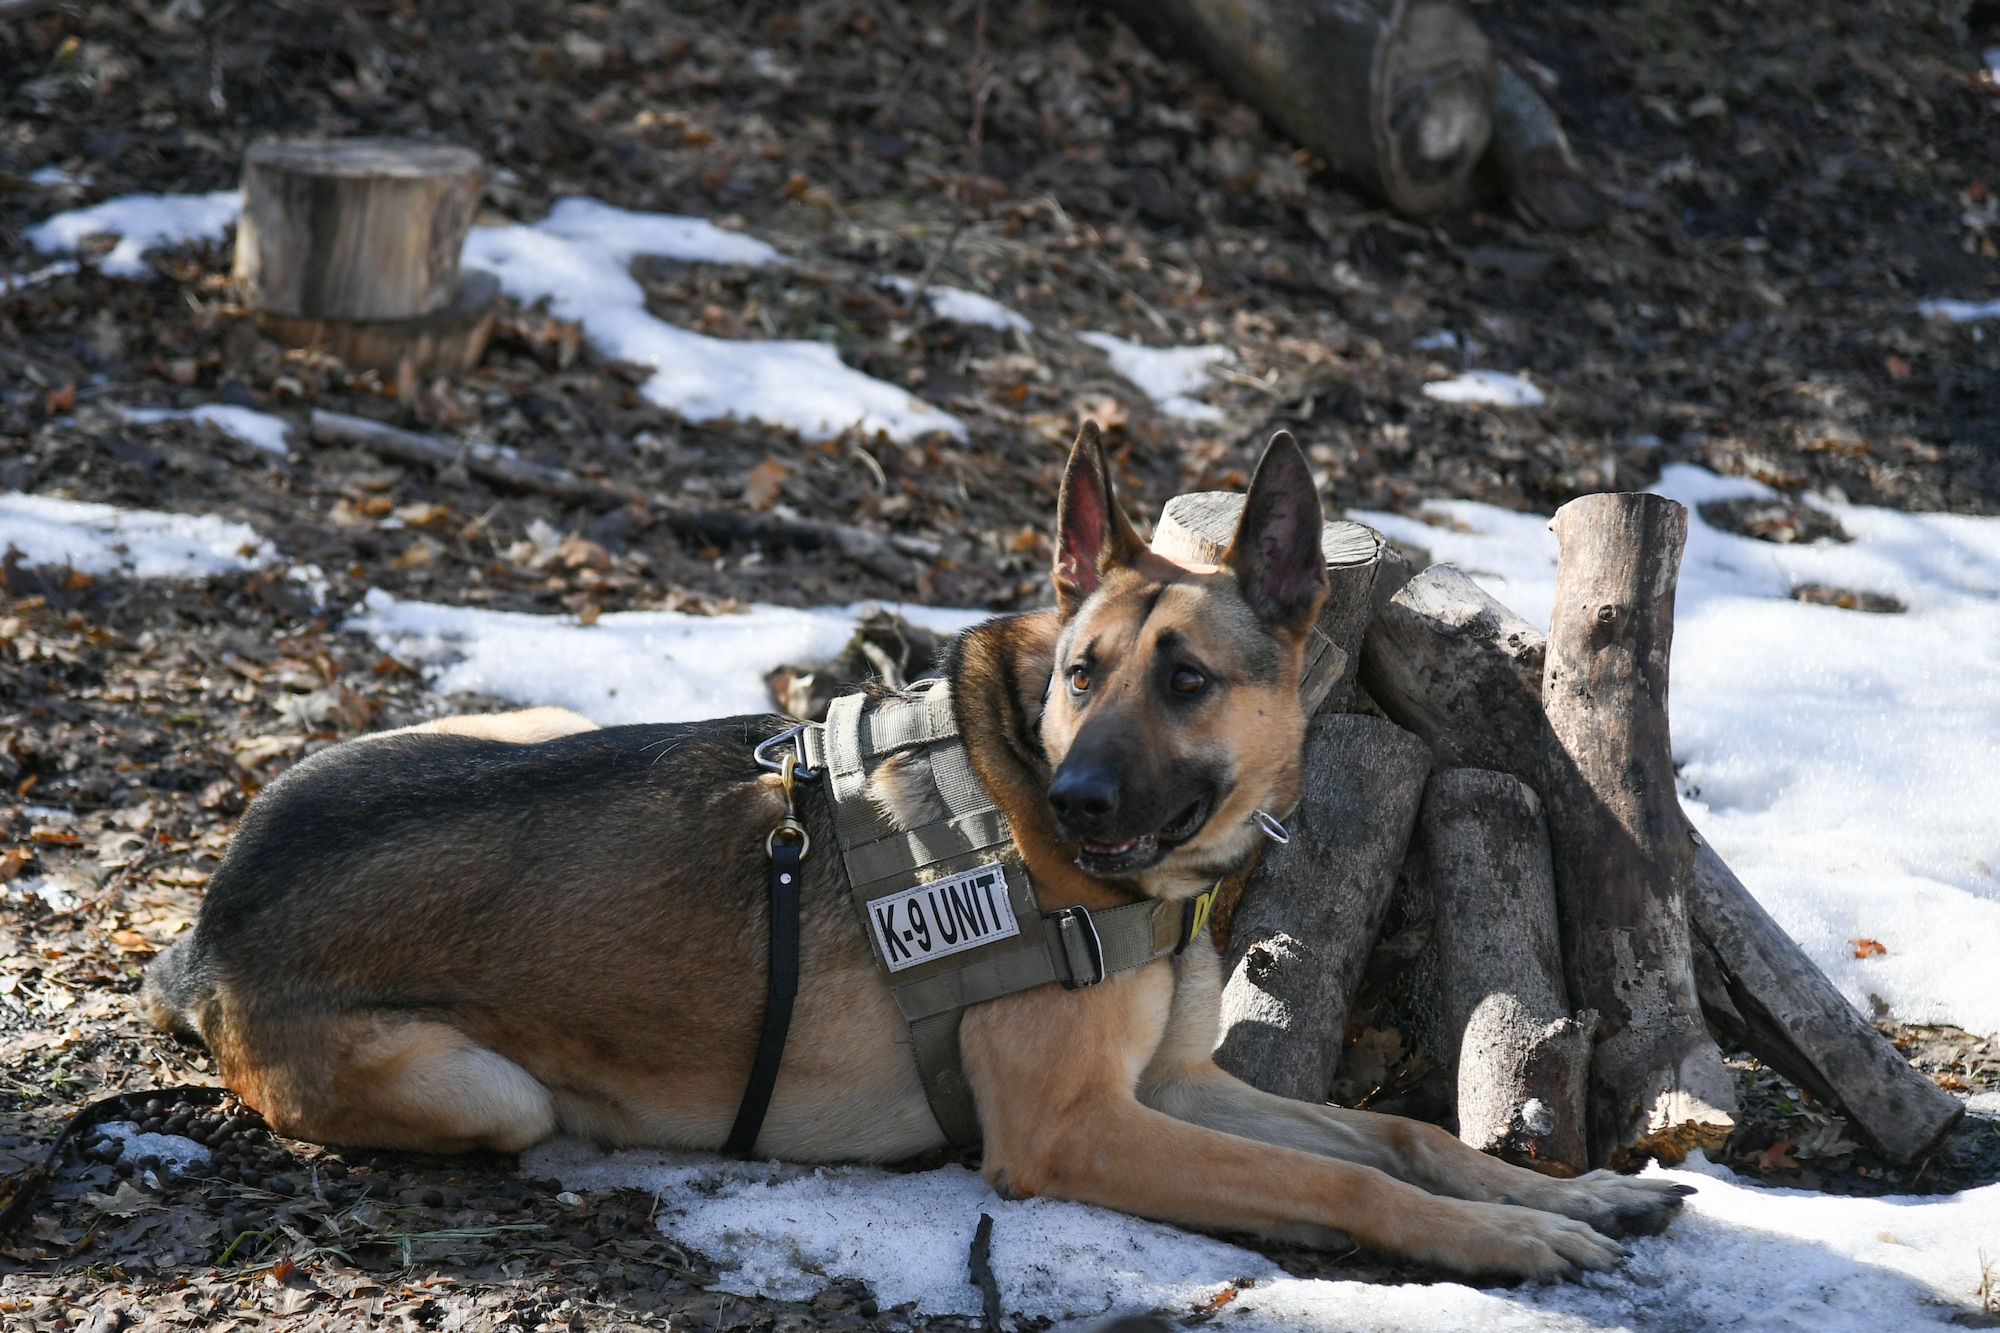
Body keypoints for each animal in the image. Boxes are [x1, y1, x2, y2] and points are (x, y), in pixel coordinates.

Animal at [148, 428, 1688, 1280]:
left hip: (538, 722)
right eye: (1081, 673)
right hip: (488, 1088)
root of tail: (212, 921)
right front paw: (1505, 1244)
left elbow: (1397, 1134)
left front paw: (1572, 1191)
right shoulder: (1077, 1131)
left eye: (1186, 680)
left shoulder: (1174, 1086)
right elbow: (1343, 1179)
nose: (1073, 799)